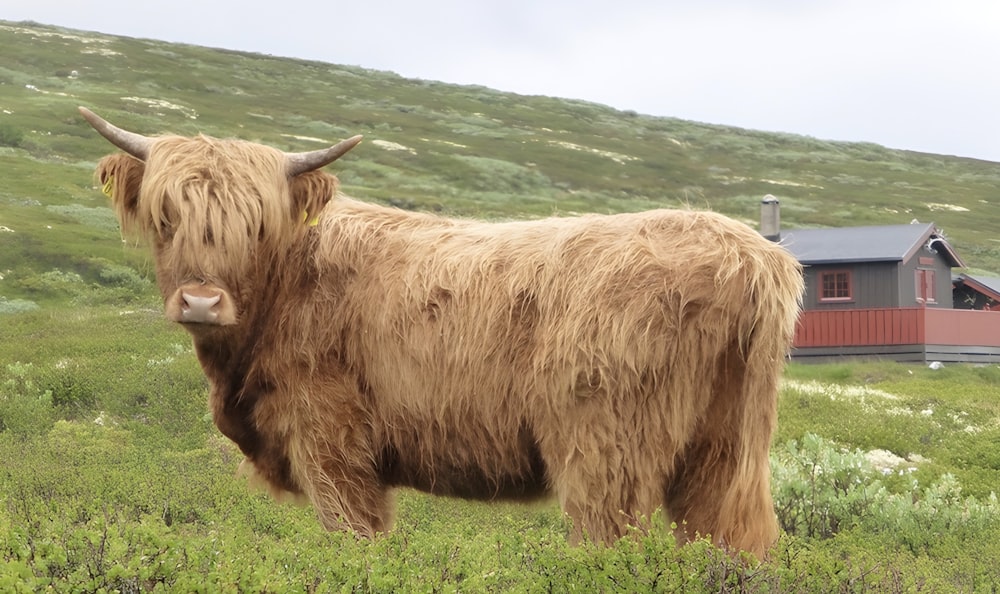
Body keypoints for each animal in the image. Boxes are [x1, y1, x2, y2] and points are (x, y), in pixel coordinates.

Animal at [84, 105, 804, 556]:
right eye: (166, 216)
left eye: (256, 224)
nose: (202, 302)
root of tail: (750, 254)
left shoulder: (330, 444)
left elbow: (356, 543)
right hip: (727, 452)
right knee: (731, 545)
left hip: (606, 451)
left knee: (610, 545)